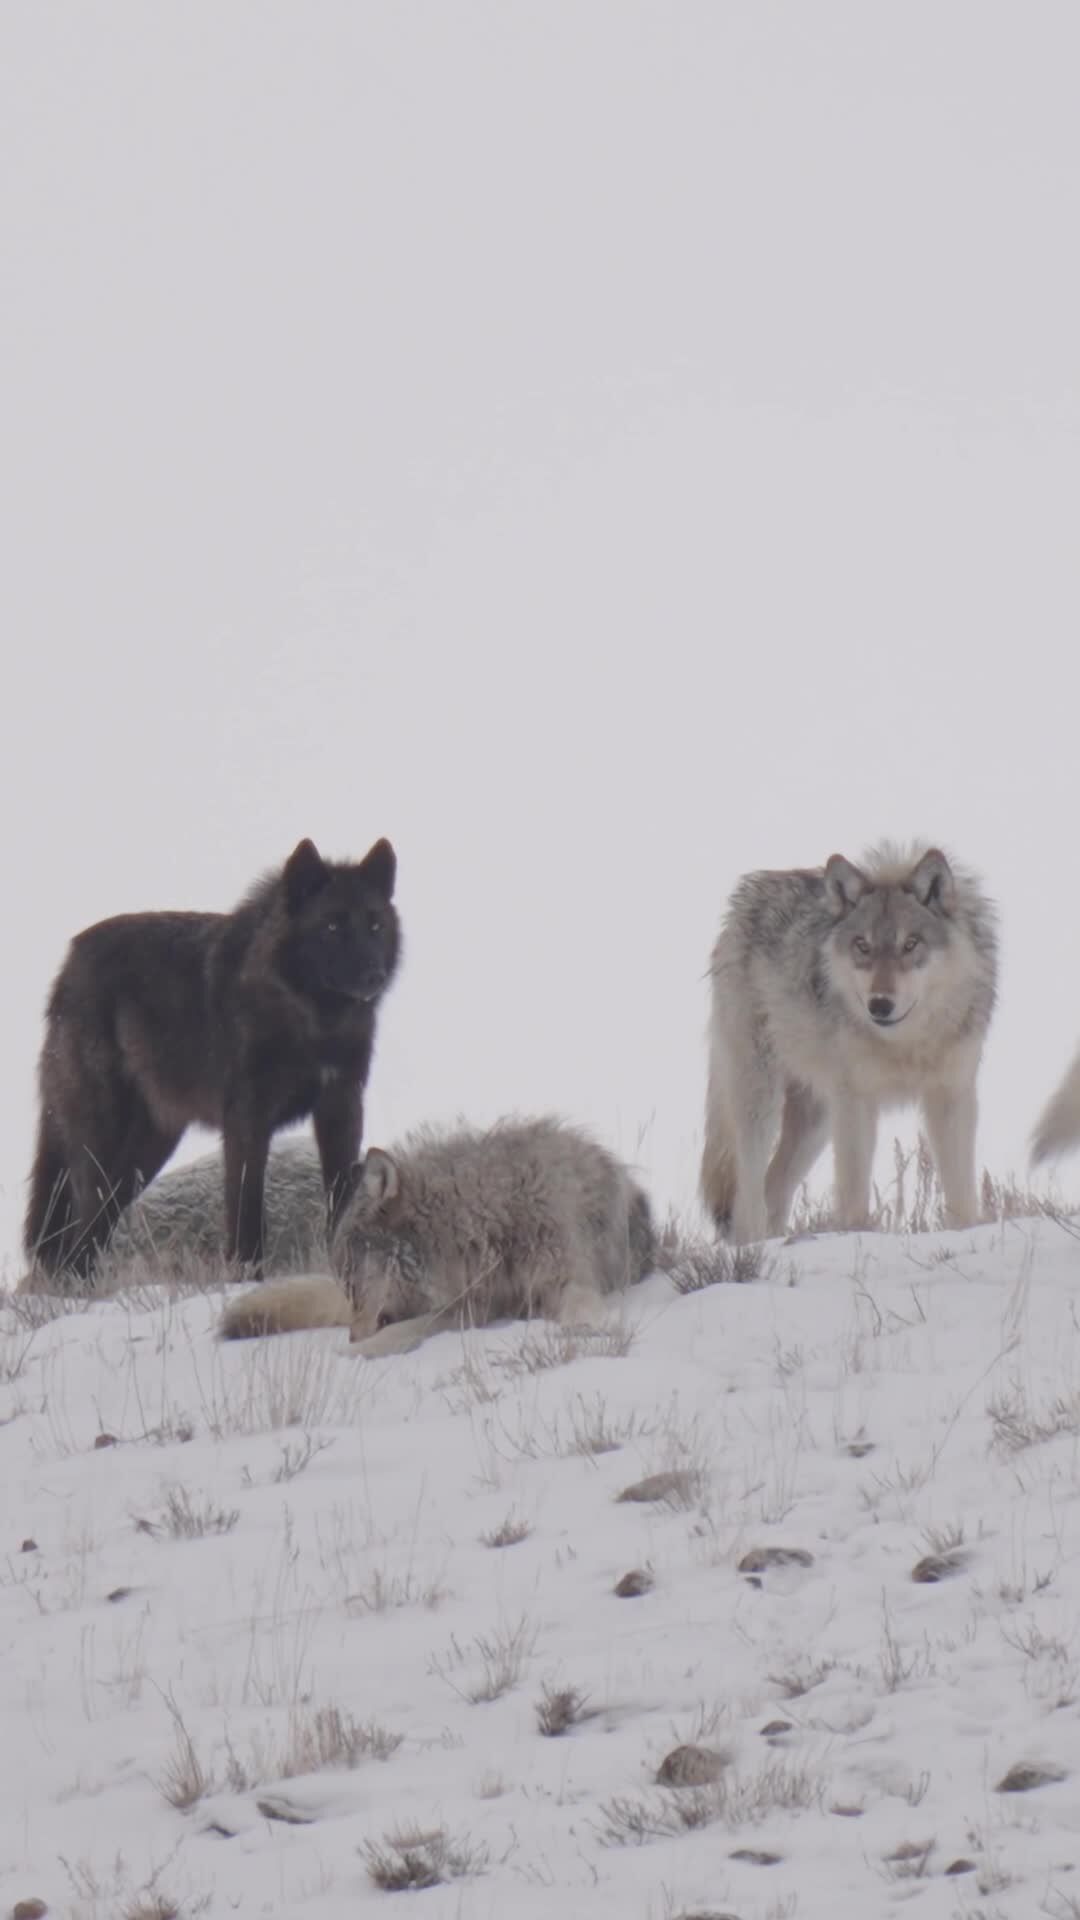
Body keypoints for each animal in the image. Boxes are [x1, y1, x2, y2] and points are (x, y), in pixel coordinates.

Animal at [25, 837, 400, 1281]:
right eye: (332, 927)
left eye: (375, 926)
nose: (374, 975)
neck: (312, 1023)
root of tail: (68, 964)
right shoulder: (247, 1122)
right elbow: (246, 1210)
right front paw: (247, 1278)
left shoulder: (341, 1110)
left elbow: (341, 1200)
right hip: (102, 1146)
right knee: (80, 1228)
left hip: (148, 1151)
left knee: (92, 1229)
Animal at [220, 1116, 656, 1348]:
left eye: (352, 1280)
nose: (352, 1337)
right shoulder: (472, 1307)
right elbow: (407, 1330)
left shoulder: (569, 1274)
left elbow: (580, 1305)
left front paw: (586, 1328)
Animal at [701, 843, 998, 1244]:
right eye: (863, 946)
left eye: (910, 944)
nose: (880, 1005)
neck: (905, 1042)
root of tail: (747, 895)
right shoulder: (857, 1101)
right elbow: (854, 1194)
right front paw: (856, 1238)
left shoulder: (952, 1096)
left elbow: (961, 1193)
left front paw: (965, 1234)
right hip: (762, 1102)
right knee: (748, 1195)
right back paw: (754, 1245)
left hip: (818, 1119)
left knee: (774, 1188)